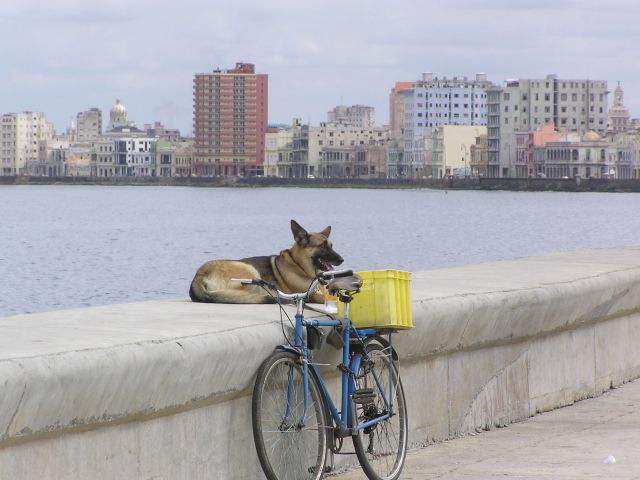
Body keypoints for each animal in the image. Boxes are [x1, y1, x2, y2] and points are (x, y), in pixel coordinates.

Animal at [188, 220, 342, 304]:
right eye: (322, 246)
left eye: (332, 245)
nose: (342, 259)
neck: (299, 267)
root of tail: (199, 274)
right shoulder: (310, 294)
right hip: (250, 271)